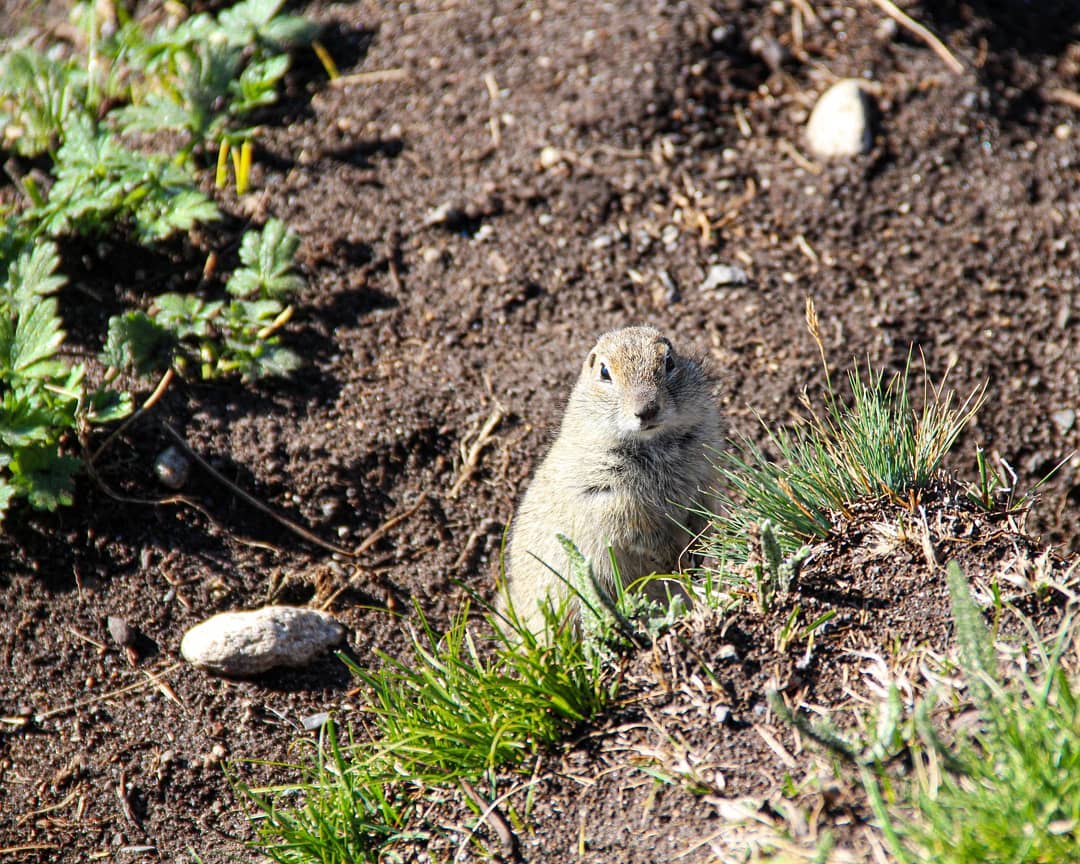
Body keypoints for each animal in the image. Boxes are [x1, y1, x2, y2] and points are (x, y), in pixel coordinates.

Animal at [501, 328, 721, 630]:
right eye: (604, 372)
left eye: (669, 361)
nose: (647, 410)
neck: (653, 444)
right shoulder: (608, 495)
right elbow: (640, 530)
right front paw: (675, 558)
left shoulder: (706, 475)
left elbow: (705, 511)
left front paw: (697, 550)